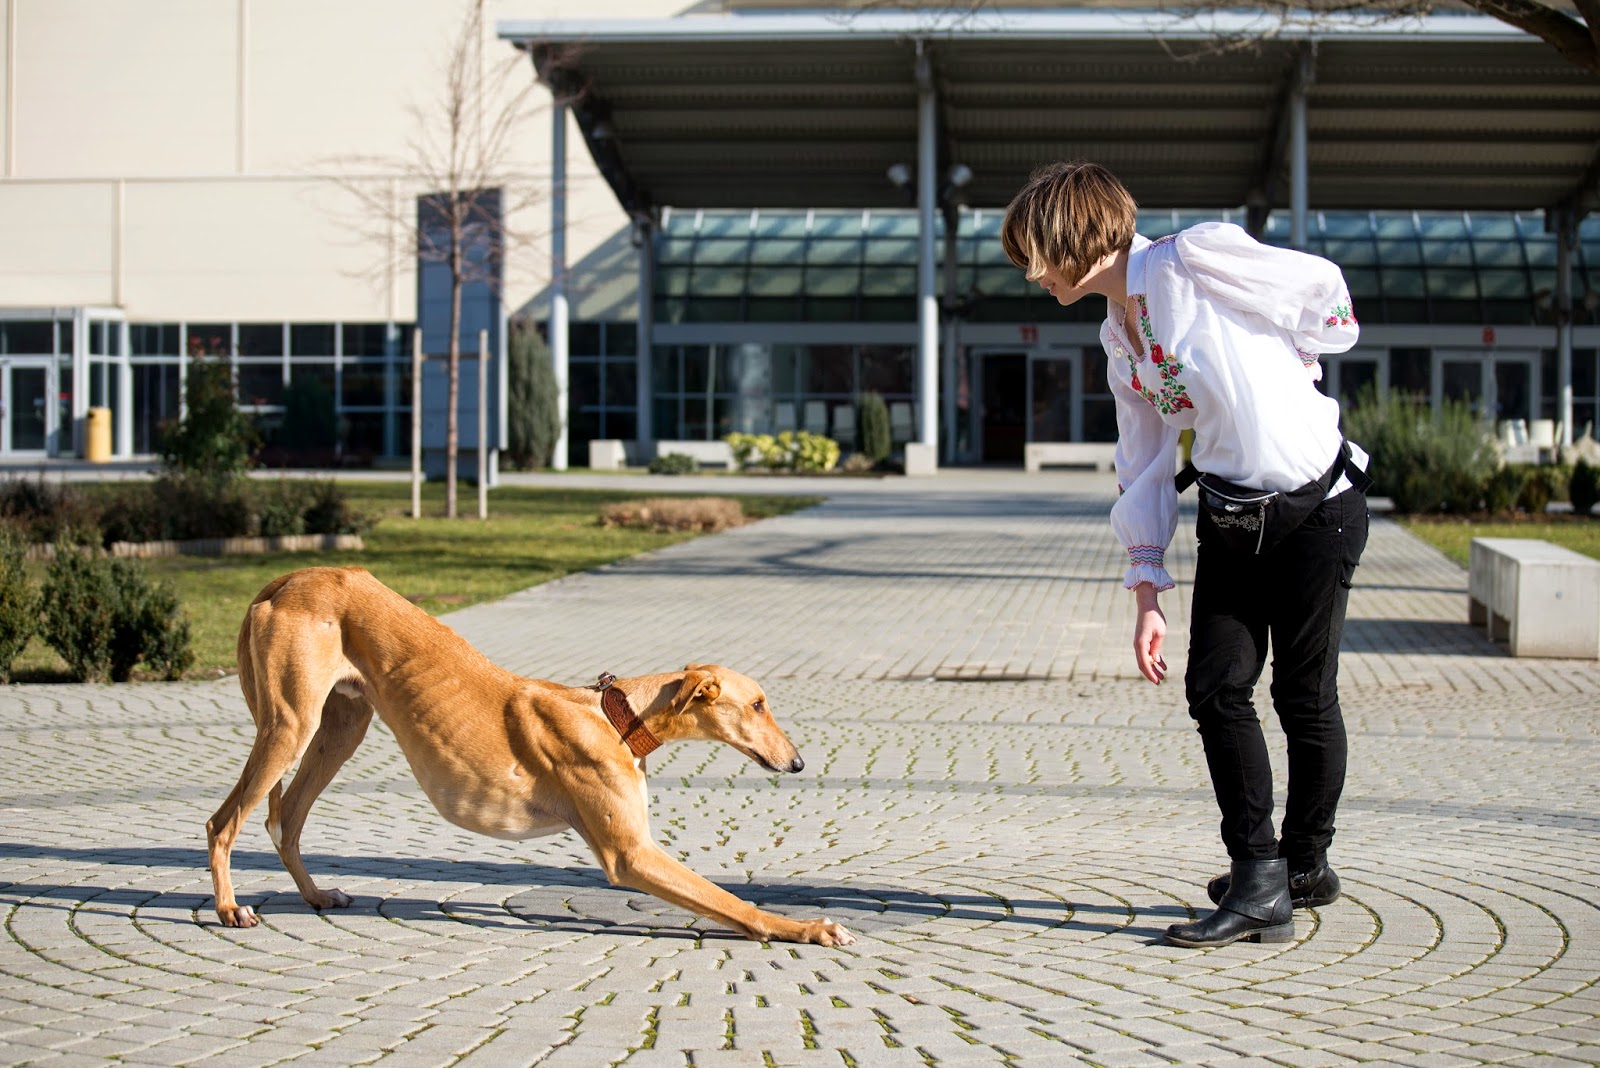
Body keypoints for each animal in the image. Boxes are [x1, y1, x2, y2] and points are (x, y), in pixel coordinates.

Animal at [206, 562, 857, 946]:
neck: (618, 716)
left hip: (340, 729)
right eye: (759, 704)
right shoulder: (630, 854)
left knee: (285, 820)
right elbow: (732, 903)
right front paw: (805, 927)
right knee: (224, 821)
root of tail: (291, 578)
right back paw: (231, 908)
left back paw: (317, 895)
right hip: (289, 726)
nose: (798, 763)